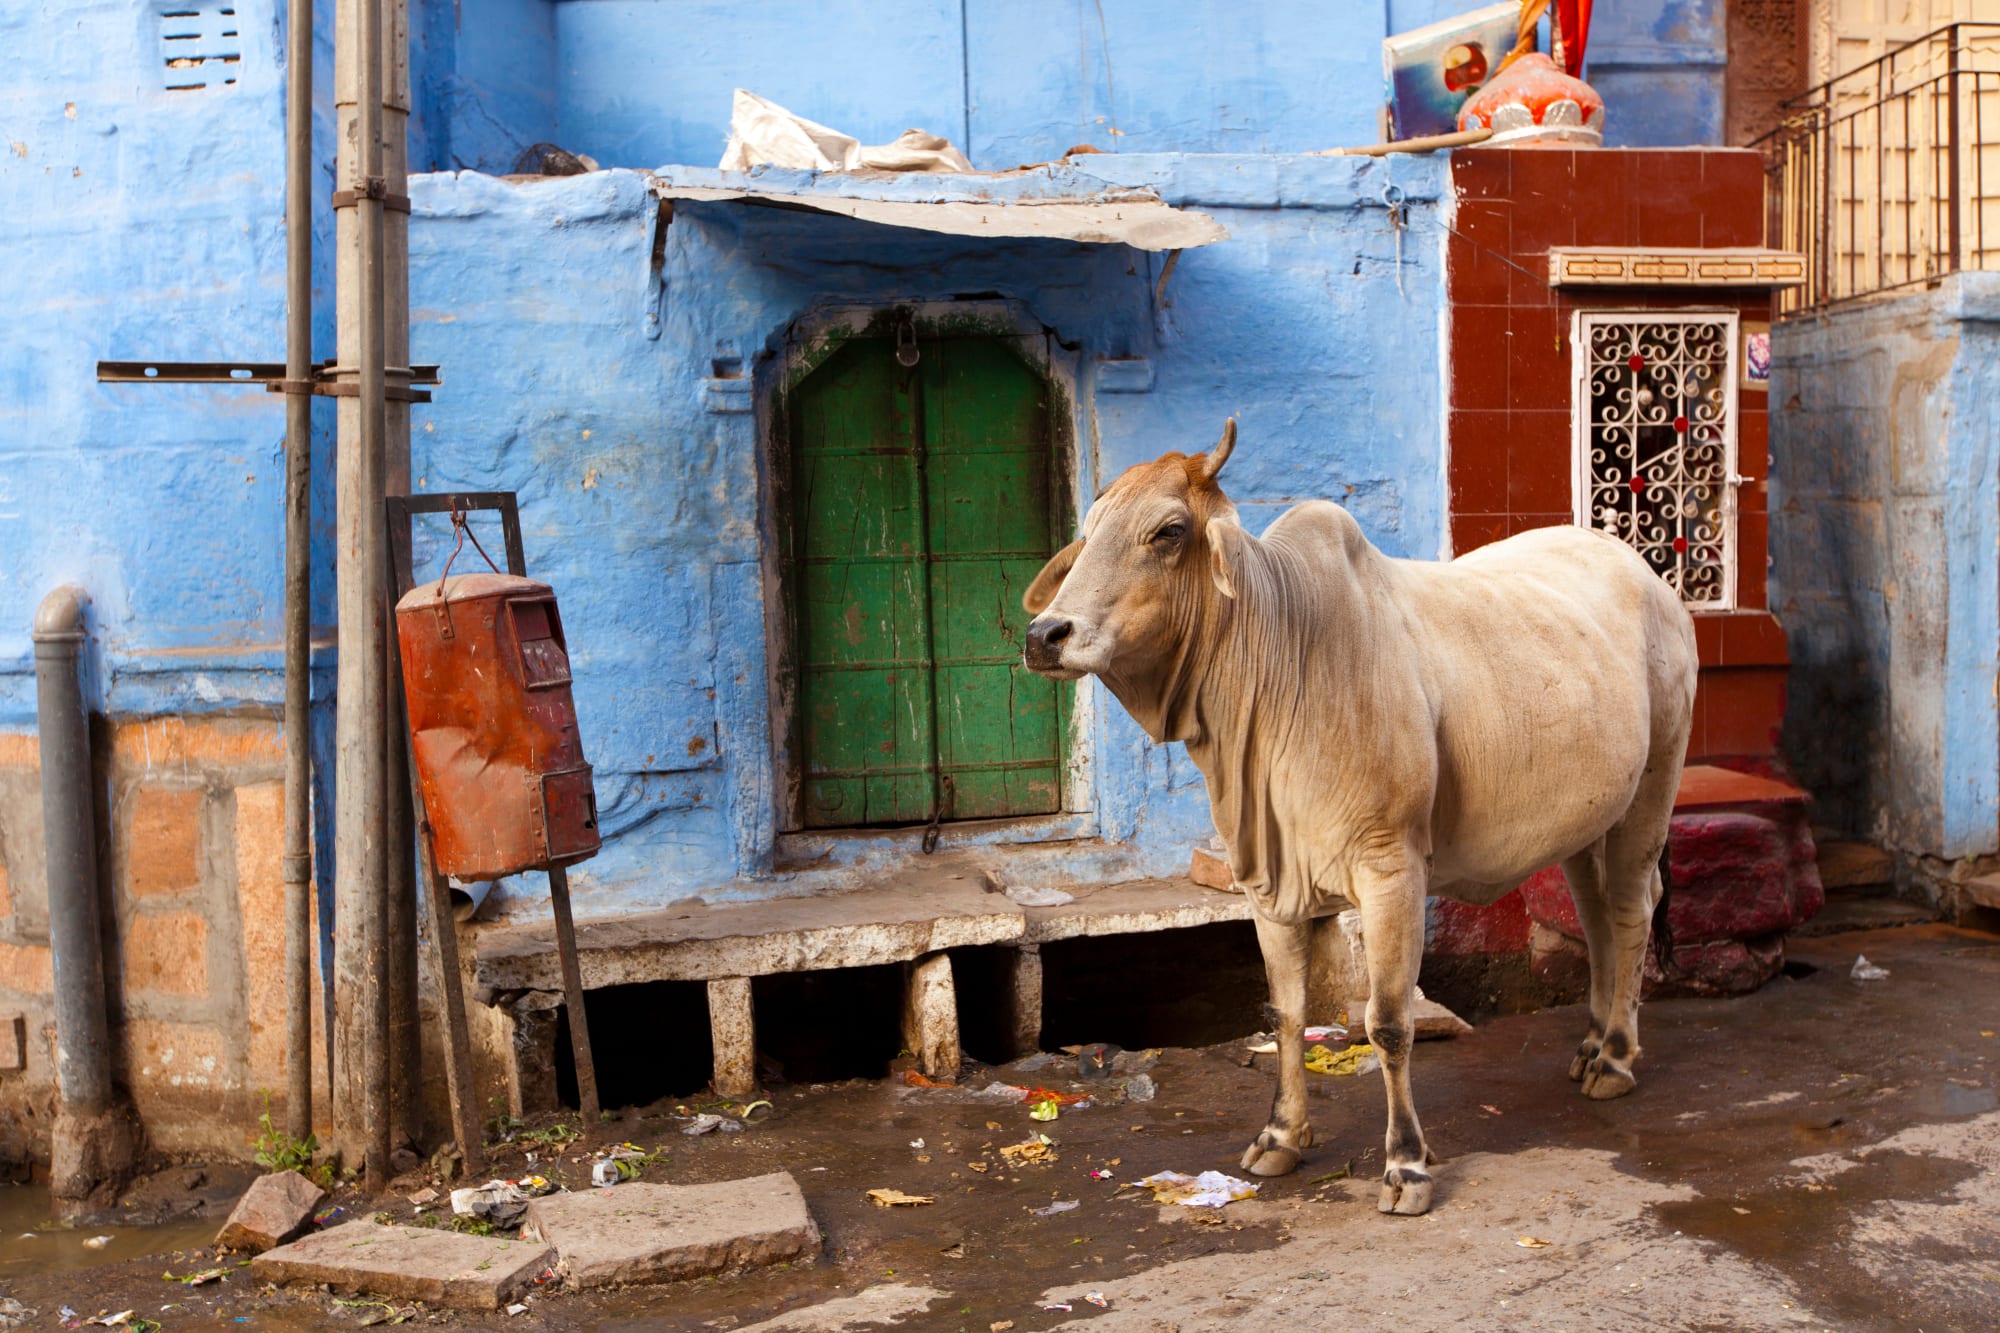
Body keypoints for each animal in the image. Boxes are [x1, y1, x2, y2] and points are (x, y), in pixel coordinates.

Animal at [1021, 420, 1697, 1217]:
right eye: (1089, 530)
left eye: (1168, 531)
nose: (1045, 634)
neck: (1280, 659)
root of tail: (1649, 577)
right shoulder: (1267, 884)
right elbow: (1287, 1014)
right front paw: (1281, 1136)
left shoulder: (1391, 869)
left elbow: (1388, 1022)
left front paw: (1407, 1162)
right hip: (1588, 820)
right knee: (1594, 916)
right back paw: (1591, 1042)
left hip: (1653, 790)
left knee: (1630, 910)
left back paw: (1616, 1057)